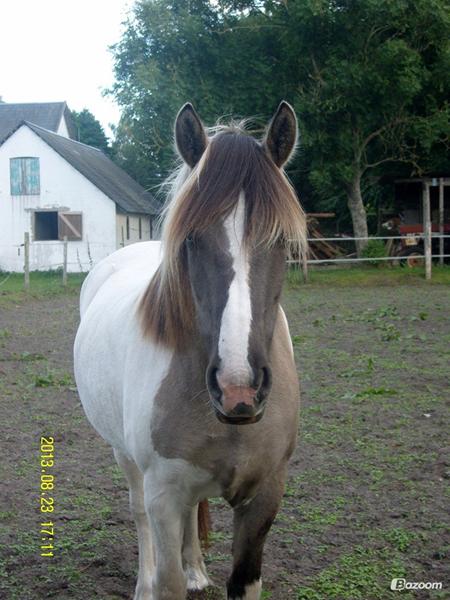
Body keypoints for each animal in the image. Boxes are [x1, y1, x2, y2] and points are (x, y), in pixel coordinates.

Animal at [74, 103, 306, 600]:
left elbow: (243, 578)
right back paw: (142, 583)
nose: (239, 389)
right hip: (127, 460)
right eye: (191, 239)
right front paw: (159, 582)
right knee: (139, 515)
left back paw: (198, 569)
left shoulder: (266, 495)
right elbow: (168, 577)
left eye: (280, 239)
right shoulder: (163, 492)